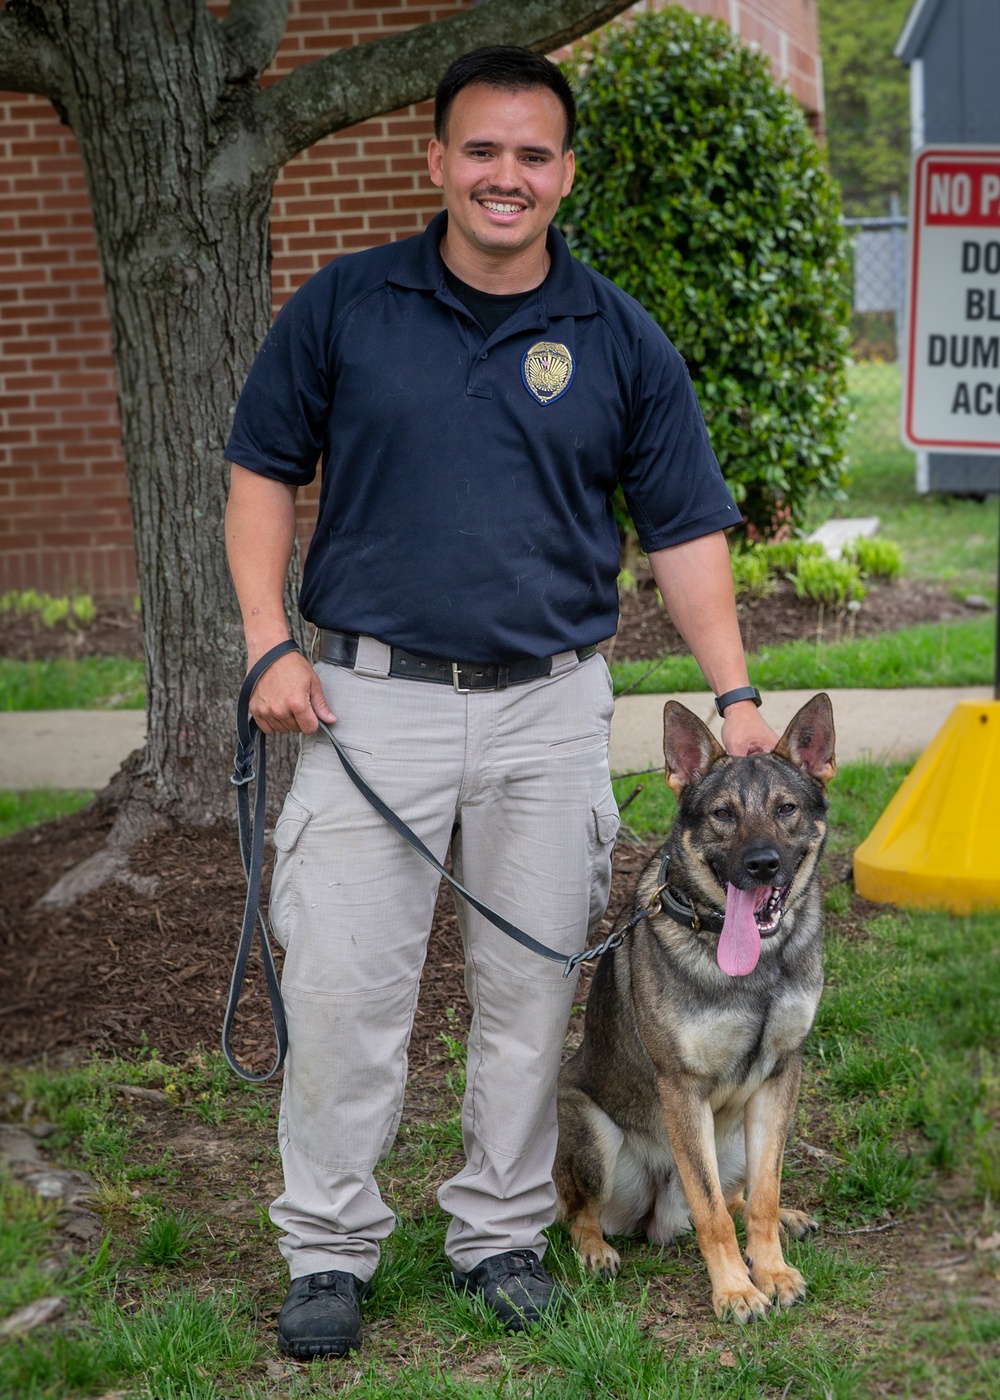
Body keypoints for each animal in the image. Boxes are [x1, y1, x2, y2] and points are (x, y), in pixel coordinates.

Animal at [551, 694, 834, 1316]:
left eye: (786, 809)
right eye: (723, 814)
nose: (762, 864)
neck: (757, 965)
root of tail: (660, 1214)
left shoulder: (781, 1075)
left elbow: (763, 1195)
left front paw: (772, 1271)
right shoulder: (682, 1087)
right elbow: (710, 1213)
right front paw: (735, 1290)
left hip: (738, 1141)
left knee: (740, 1194)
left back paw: (787, 1220)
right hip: (587, 1125)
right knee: (579, 1216)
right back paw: (596, 1250)